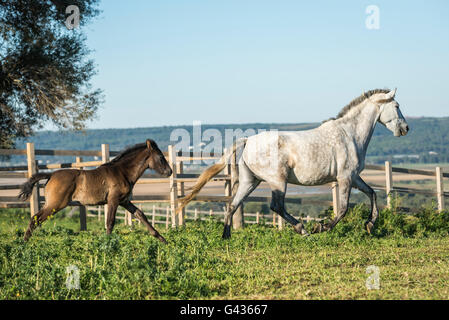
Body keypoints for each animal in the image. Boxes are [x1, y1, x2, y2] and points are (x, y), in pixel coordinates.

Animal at [18, 139, 172, 242]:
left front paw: (162, 239)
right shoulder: (113, 200)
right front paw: (107, 244)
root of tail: (51, 175)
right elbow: (110, 222)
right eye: (160, 157)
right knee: (36, 219)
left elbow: (141, 215)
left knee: (35, 219)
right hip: (56, 204)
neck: (122, 172)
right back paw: (24, 243)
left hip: (52, 204)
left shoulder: (124, 201)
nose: (169, 171)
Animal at [177, 87, 408, 238]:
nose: (405, 128)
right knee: (276, 206)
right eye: (396, 105)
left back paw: (226, 237)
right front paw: (321, 228)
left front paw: (369, 225)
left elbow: (372, 193)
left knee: (233, 204)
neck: (349, 134)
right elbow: (342, 209)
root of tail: (248, 141)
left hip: (250, 181)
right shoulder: (345, 178)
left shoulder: (354, 177)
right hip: (278, 181)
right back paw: (303, 229)